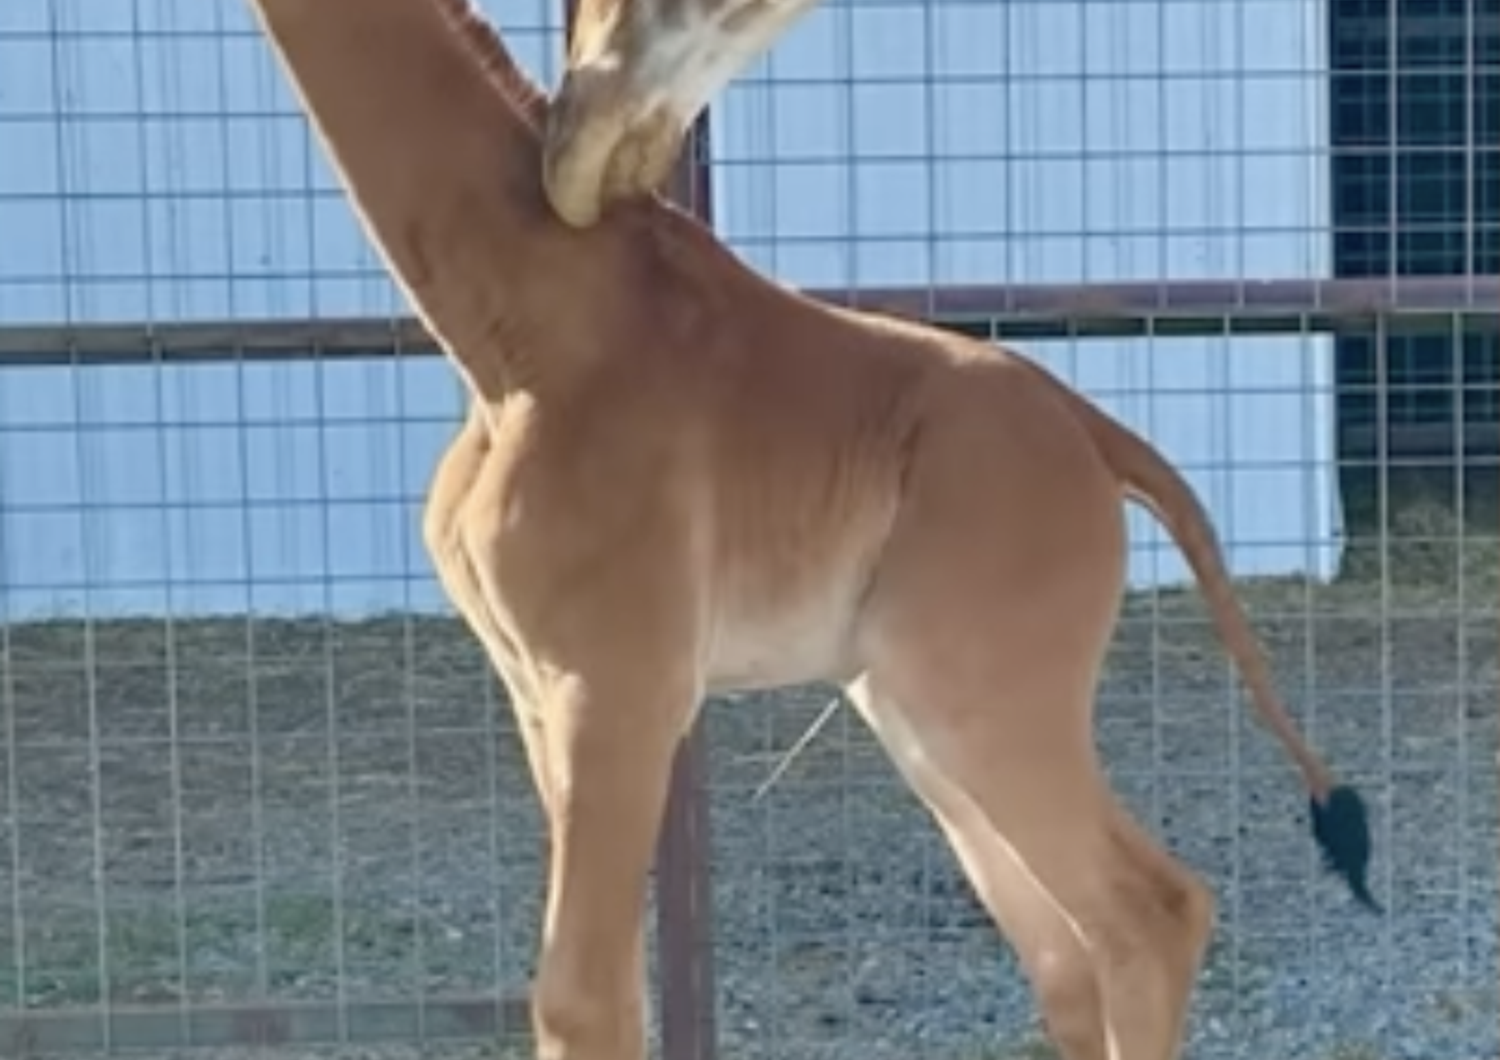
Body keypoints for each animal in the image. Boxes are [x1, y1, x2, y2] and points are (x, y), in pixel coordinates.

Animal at [240, 2, 1374, 1060]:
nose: (583, 139)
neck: (519, 336)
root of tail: (1097, 439)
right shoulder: (540, 695)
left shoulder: (617, 687)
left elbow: (582, 998)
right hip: (914, 714)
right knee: (1064, 954)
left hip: (983, 707)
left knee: (1147, 914)